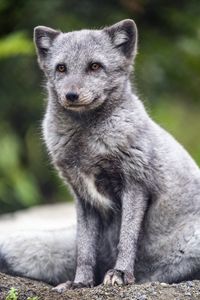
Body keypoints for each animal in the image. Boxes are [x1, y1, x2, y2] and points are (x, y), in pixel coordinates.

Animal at [0, 19, 200, 290]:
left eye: (95, 66)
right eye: (61, 68)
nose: (71, 95)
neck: (88, 144)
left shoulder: (136, 185)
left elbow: (126, 239)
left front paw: (121, 273)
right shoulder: (84, 197)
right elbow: (85, 249)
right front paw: (81, 283)